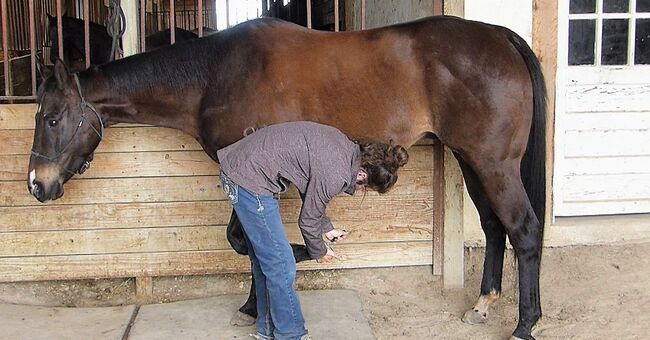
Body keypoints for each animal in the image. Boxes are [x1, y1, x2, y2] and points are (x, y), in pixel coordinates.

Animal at [26, 16, 540, 340]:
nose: (36, 184)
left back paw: (524, 325)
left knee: (525, 231)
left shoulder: (258, 177)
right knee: (494, 228)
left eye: (51, 118)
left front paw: (278, 283)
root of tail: (500, 36)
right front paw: (265, 298)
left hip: (493, 164)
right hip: (470, 160)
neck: (215, 76)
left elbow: (251, 242)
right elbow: (252, 245)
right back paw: (483, 305)